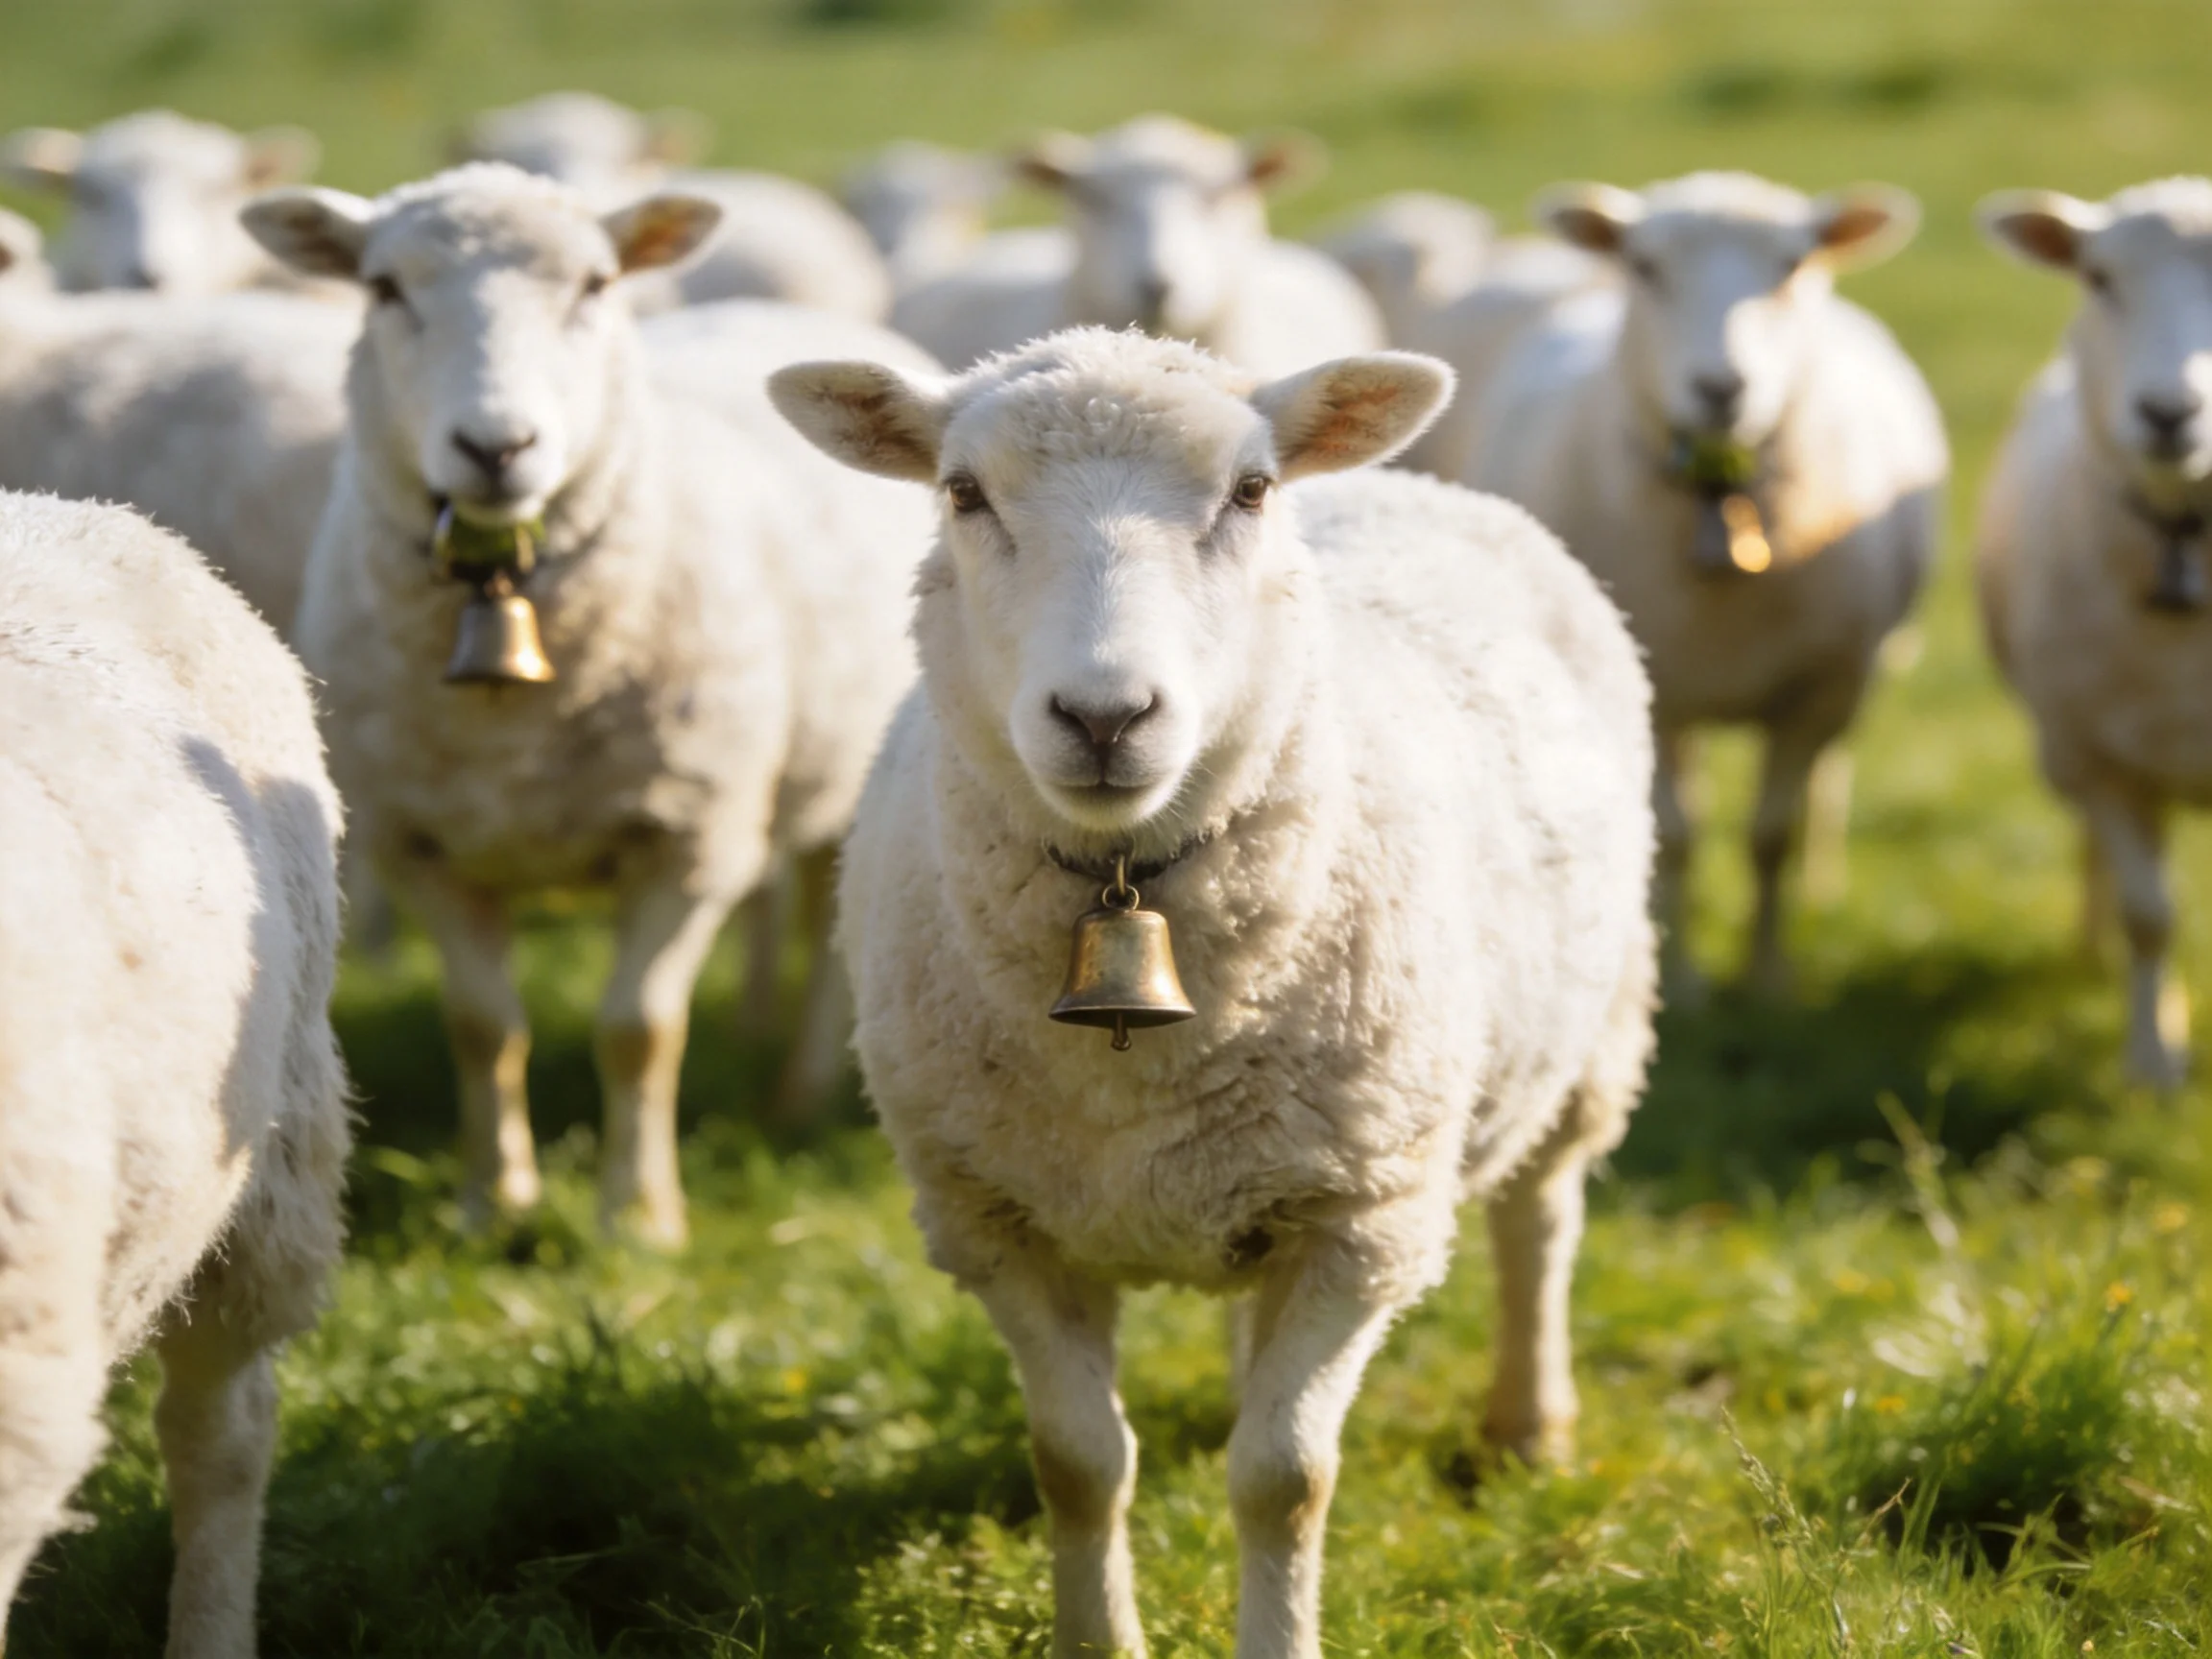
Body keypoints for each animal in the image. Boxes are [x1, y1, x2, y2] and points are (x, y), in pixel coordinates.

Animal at [242, 164, 934, 1242]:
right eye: (384, 288)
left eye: (597, 285)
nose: (496, 446)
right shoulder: (420, 846)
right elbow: (482, 1028)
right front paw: (493, 1202)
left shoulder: (690, 841)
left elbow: (636, 1031)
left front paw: (637, 1219)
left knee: (832, 939)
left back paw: (799, 1087)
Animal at [770, 327, 1656, 1659]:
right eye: (963, 492)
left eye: (1249, 492)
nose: (1104, 716)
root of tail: (1418, 481)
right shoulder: (996, 1220)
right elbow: (1077, 1464)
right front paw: (1099, 1639)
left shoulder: (1364, 1222)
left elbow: (1284, 1479)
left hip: (1587, 1038)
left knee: (1539, 1221)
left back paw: (1526, 1427)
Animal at [1466, 171, 1946, 997]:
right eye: (1646, 265)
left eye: (1792, 265)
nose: (1721, 388)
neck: (1718, 500)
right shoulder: (1659, 696)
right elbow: (1680, 837)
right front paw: (1686, 986)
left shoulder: (1820, 688)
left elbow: (1770, 835)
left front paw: (1768, 981)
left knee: (1828, 782)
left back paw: (1822, 887)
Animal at [1974, 178, 2212, 1086]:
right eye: (2099, 277)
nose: (2169, 413)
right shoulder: (2100, 755)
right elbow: (2151, 914)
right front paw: (2153, 1065)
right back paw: (2092, 952)